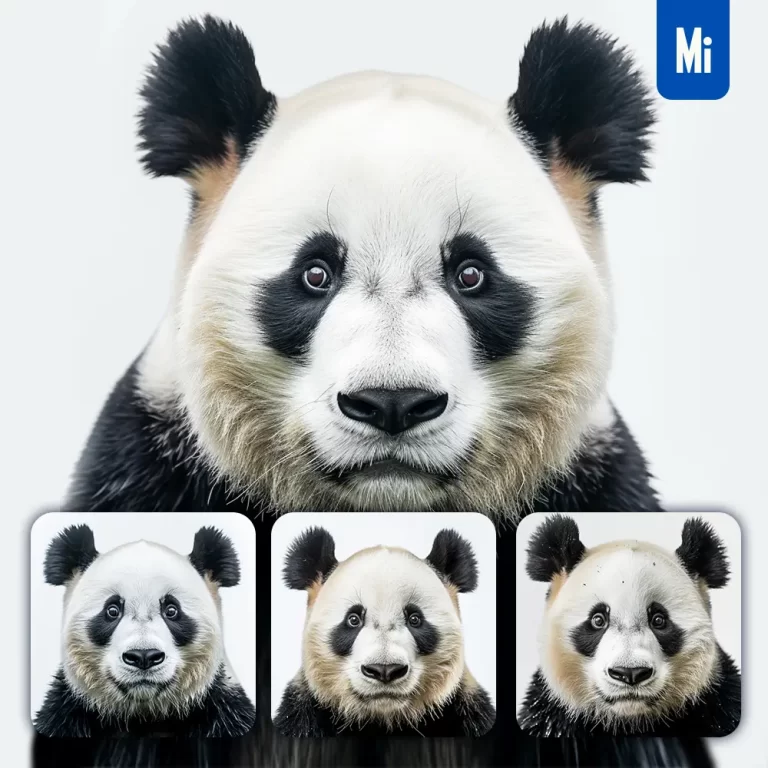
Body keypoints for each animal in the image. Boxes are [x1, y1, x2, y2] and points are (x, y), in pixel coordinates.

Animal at [34, 524, 256, 738]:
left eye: (172, 610)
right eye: (112, 610)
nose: (143, 657)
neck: (144, 716)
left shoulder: (224, 711)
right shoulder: (65, 714)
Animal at [273, 527, 495, 737]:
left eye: (415, 619)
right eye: (353, 619)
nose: (385, 670)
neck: (384, 719)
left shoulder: (467, 712)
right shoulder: (302, 715)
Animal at [518, 515, 741, 738]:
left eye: (659, 620)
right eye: (597, 620)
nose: (630, 673)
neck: (630, 720)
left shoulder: (717, 702)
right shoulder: (551, 713)